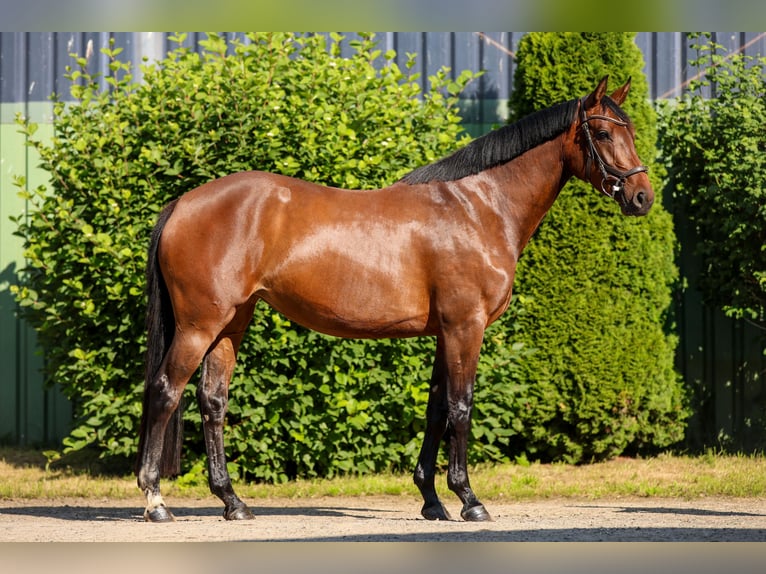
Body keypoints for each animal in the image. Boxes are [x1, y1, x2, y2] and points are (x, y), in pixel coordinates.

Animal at [136, 76, 652, 523]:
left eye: (629, 130)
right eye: (602, 132)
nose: (642, 196)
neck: (477, 206)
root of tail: (182, 203)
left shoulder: (445, 332)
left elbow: (437, 408)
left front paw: (432, 499)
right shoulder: (466, 326)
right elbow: (461, 407)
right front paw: (469, 500)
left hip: (231, 324)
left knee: (212, 400)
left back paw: (232, 501)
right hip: (199, 325)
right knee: (165, 391)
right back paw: (156, 501)